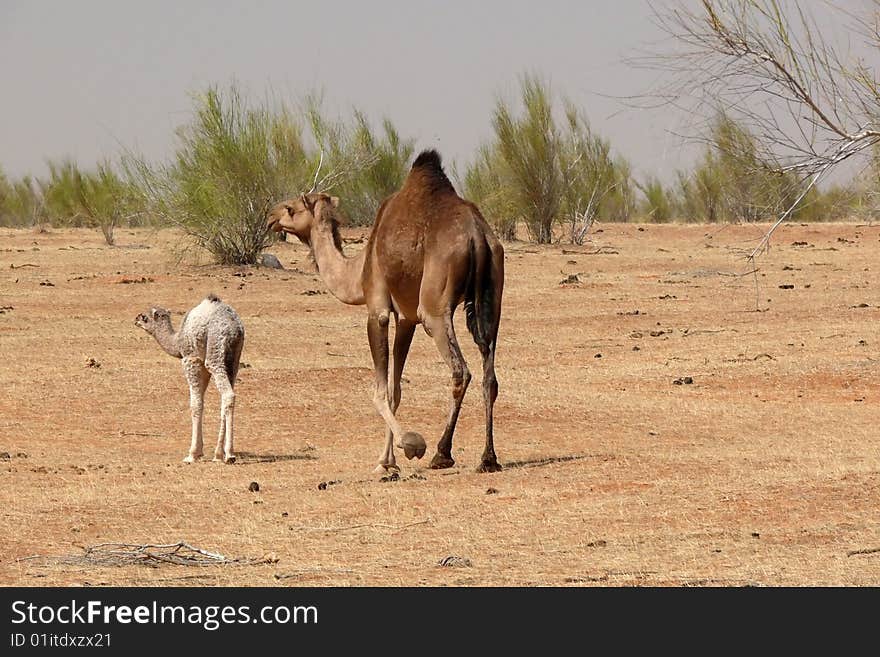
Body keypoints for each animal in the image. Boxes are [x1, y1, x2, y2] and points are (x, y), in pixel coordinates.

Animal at [136, 294, 244, 464]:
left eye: (144, 317)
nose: (136, 319)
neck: (177, 340)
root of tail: (234, 328)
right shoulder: (203, 365)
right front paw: (204, 452)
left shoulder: (191, 360)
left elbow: (196, 404)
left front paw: (193, 454)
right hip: (233, 359)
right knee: (226, 397)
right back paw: (219, 454)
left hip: (215, 354)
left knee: (228, 394)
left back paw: (229, 454)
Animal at [266, 151, 502, 474]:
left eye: (290, 209)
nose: (270, 217)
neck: (357, 272)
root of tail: (478, 237)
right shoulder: (406, 318)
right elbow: (395, 390)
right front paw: (388, 461)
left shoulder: (377, 308)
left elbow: (380, 391)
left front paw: (405, 449)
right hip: (492, 298)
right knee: (490, 375)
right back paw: (488, 458)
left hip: (435, 308)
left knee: (460, 371)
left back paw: (442, 453)